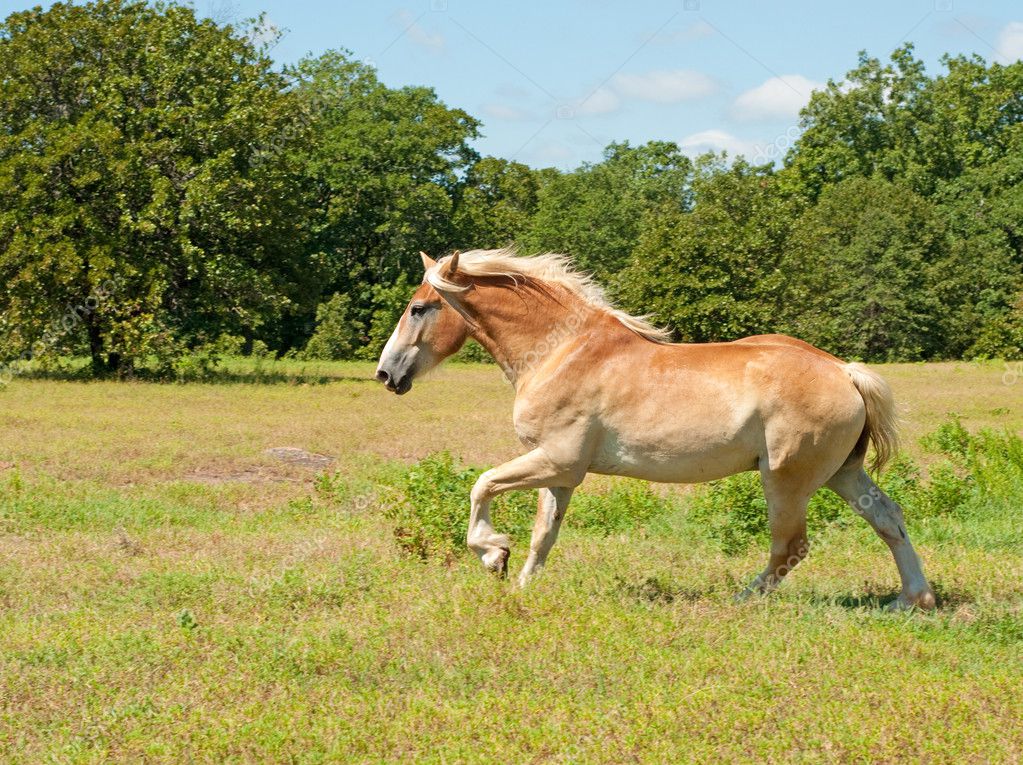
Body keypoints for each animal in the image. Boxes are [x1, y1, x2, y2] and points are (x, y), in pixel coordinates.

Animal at [374, 249, 937, 609]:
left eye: (418, 308)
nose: (386, 374)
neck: (561, 350)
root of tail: (844, 371)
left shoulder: (556, 461)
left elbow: (481, 485)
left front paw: (493, 554)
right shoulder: (561, 474)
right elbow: (543, 535)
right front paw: (522, 586)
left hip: (786, 479)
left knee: (791, 546)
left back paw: (741, 600)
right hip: (843, 473)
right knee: (889, 519)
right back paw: (913, 600)